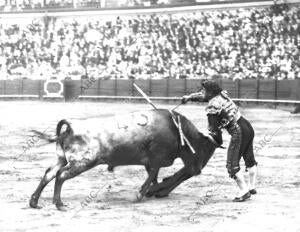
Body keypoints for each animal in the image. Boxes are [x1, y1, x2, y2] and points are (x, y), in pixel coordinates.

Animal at [29, 109, 217, 210]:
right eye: (204, 147)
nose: (198, 169)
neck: (177, 130)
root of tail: (71, 126)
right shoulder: (156, 160)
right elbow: (153, 176)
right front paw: (142, 194)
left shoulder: (151, 162)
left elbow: (153, 177)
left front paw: (153, 192)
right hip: (82, 162)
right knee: (60, 175)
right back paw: (59, 204)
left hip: (62, 159)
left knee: (49, 174)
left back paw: (34, 202)